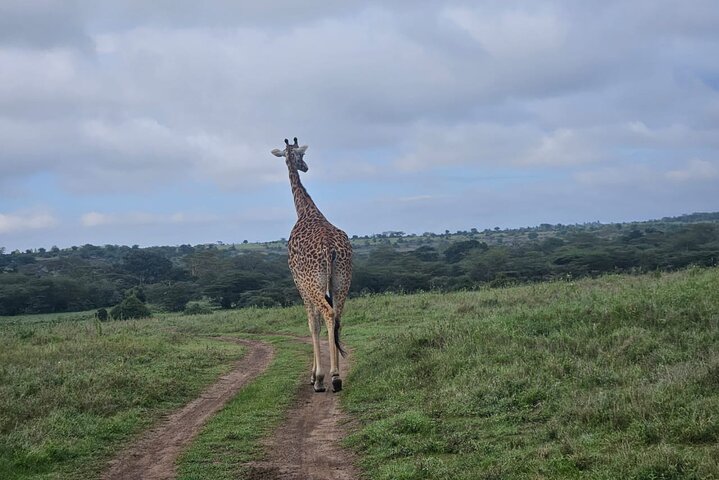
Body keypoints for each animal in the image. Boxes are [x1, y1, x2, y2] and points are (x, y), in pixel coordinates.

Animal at [272, 137, 353, 393]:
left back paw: (332, 377)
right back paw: (336, 375)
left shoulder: (301, 283)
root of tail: (330, 248)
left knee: (327, 314)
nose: (305, 167)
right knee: (337, 315)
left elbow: (311, 324)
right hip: (342, 279)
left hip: (314, 282)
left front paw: (315, 377)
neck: (306, 210)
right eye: (300, 156)